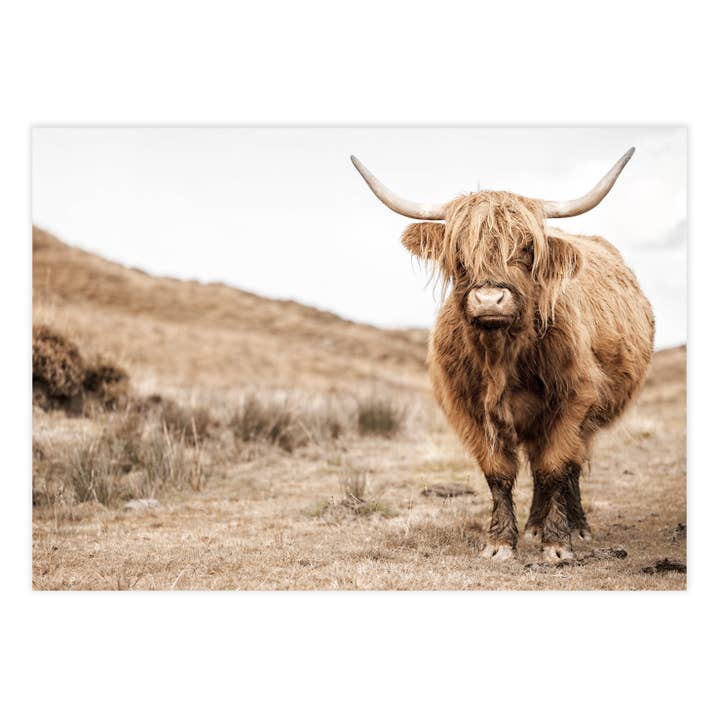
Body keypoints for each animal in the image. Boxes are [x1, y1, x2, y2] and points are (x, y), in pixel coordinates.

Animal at [351, 149, 654, 562]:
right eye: (459, 252)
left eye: (527, 249)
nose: (490, 300)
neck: (501, 356)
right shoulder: (468, 408)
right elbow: (498, 472)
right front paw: (499, 542)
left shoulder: (573, 400)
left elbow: (554, 467)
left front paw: (556, 544)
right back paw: (533, 526)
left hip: (588, 419)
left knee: (569, 467)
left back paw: (574, 527)